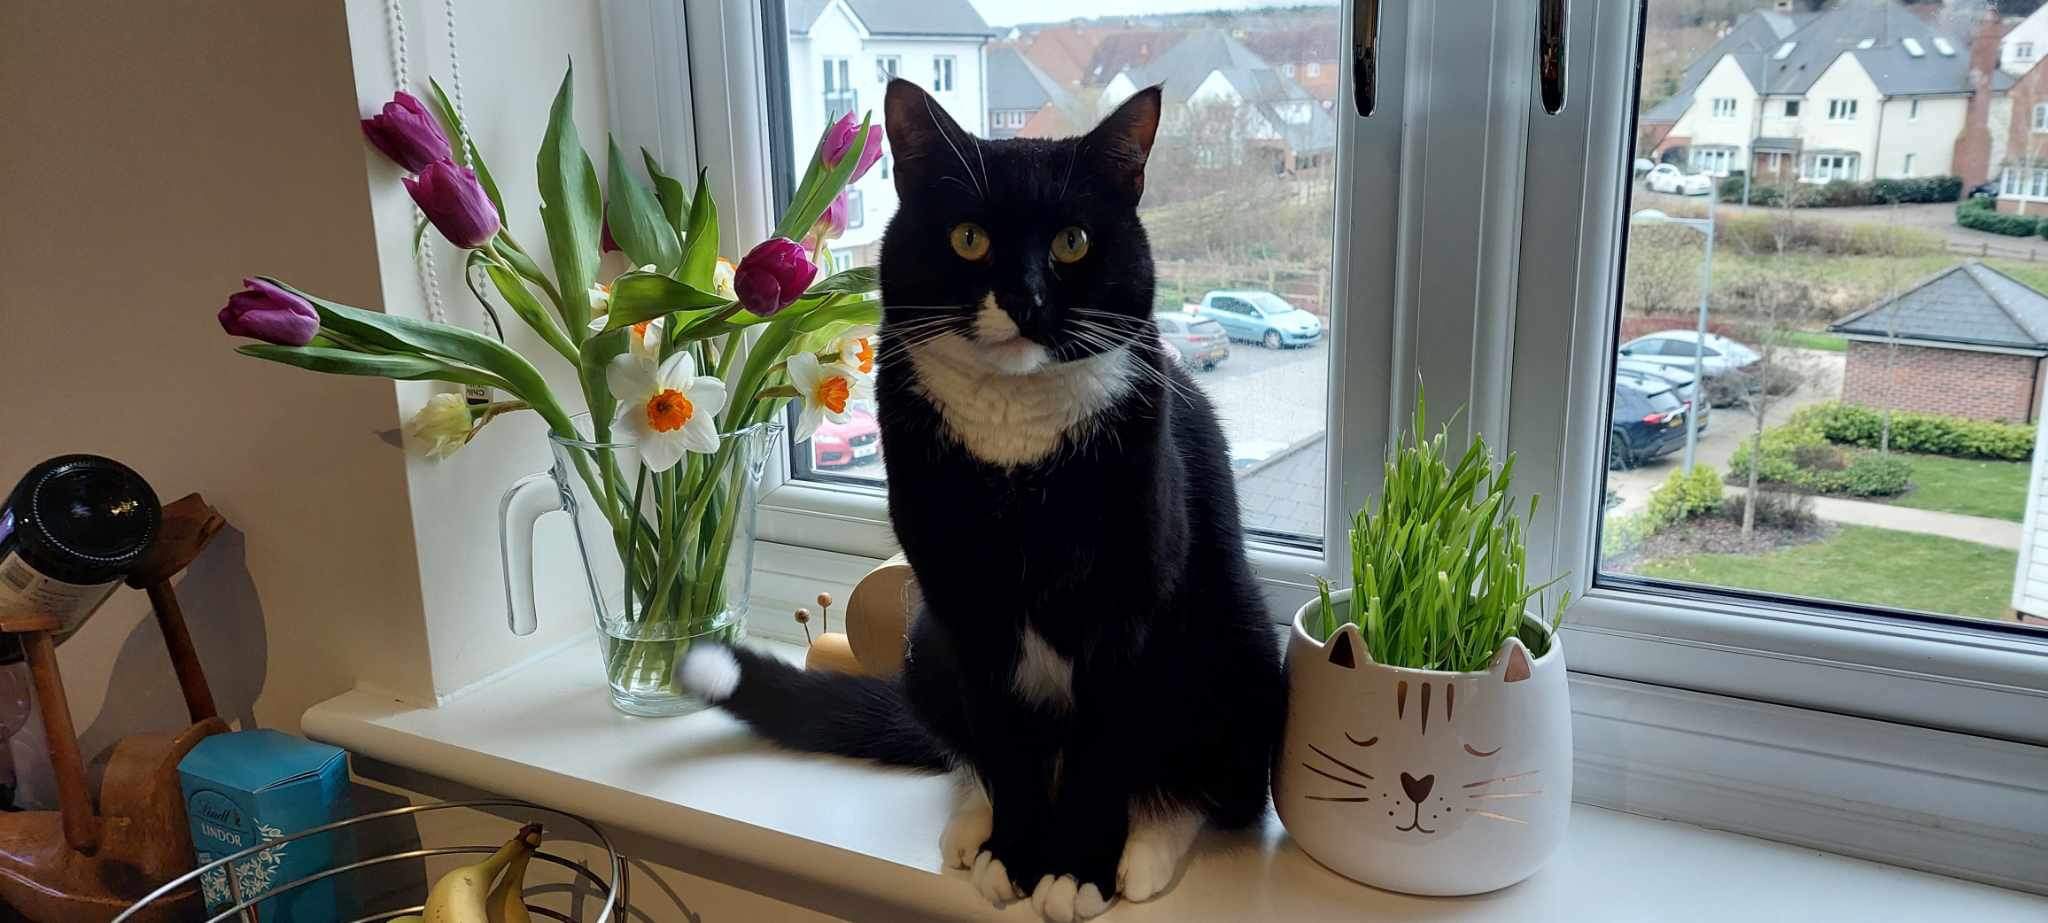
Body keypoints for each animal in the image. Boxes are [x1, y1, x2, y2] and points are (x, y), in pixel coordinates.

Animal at [679, 81, 1286, 923]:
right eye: (968, 237)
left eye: (1073, 241)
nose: (1025, 298)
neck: (1015, 438)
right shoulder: (966, 606)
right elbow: (1002, 742)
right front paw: (1017, 854)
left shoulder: (1125, 608)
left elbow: (1107, 751)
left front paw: (1079, 869)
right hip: (924, 639)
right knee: (967, 749)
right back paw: (975, 826)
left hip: (1234, 641)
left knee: (1207, 782)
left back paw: (1145, 848)